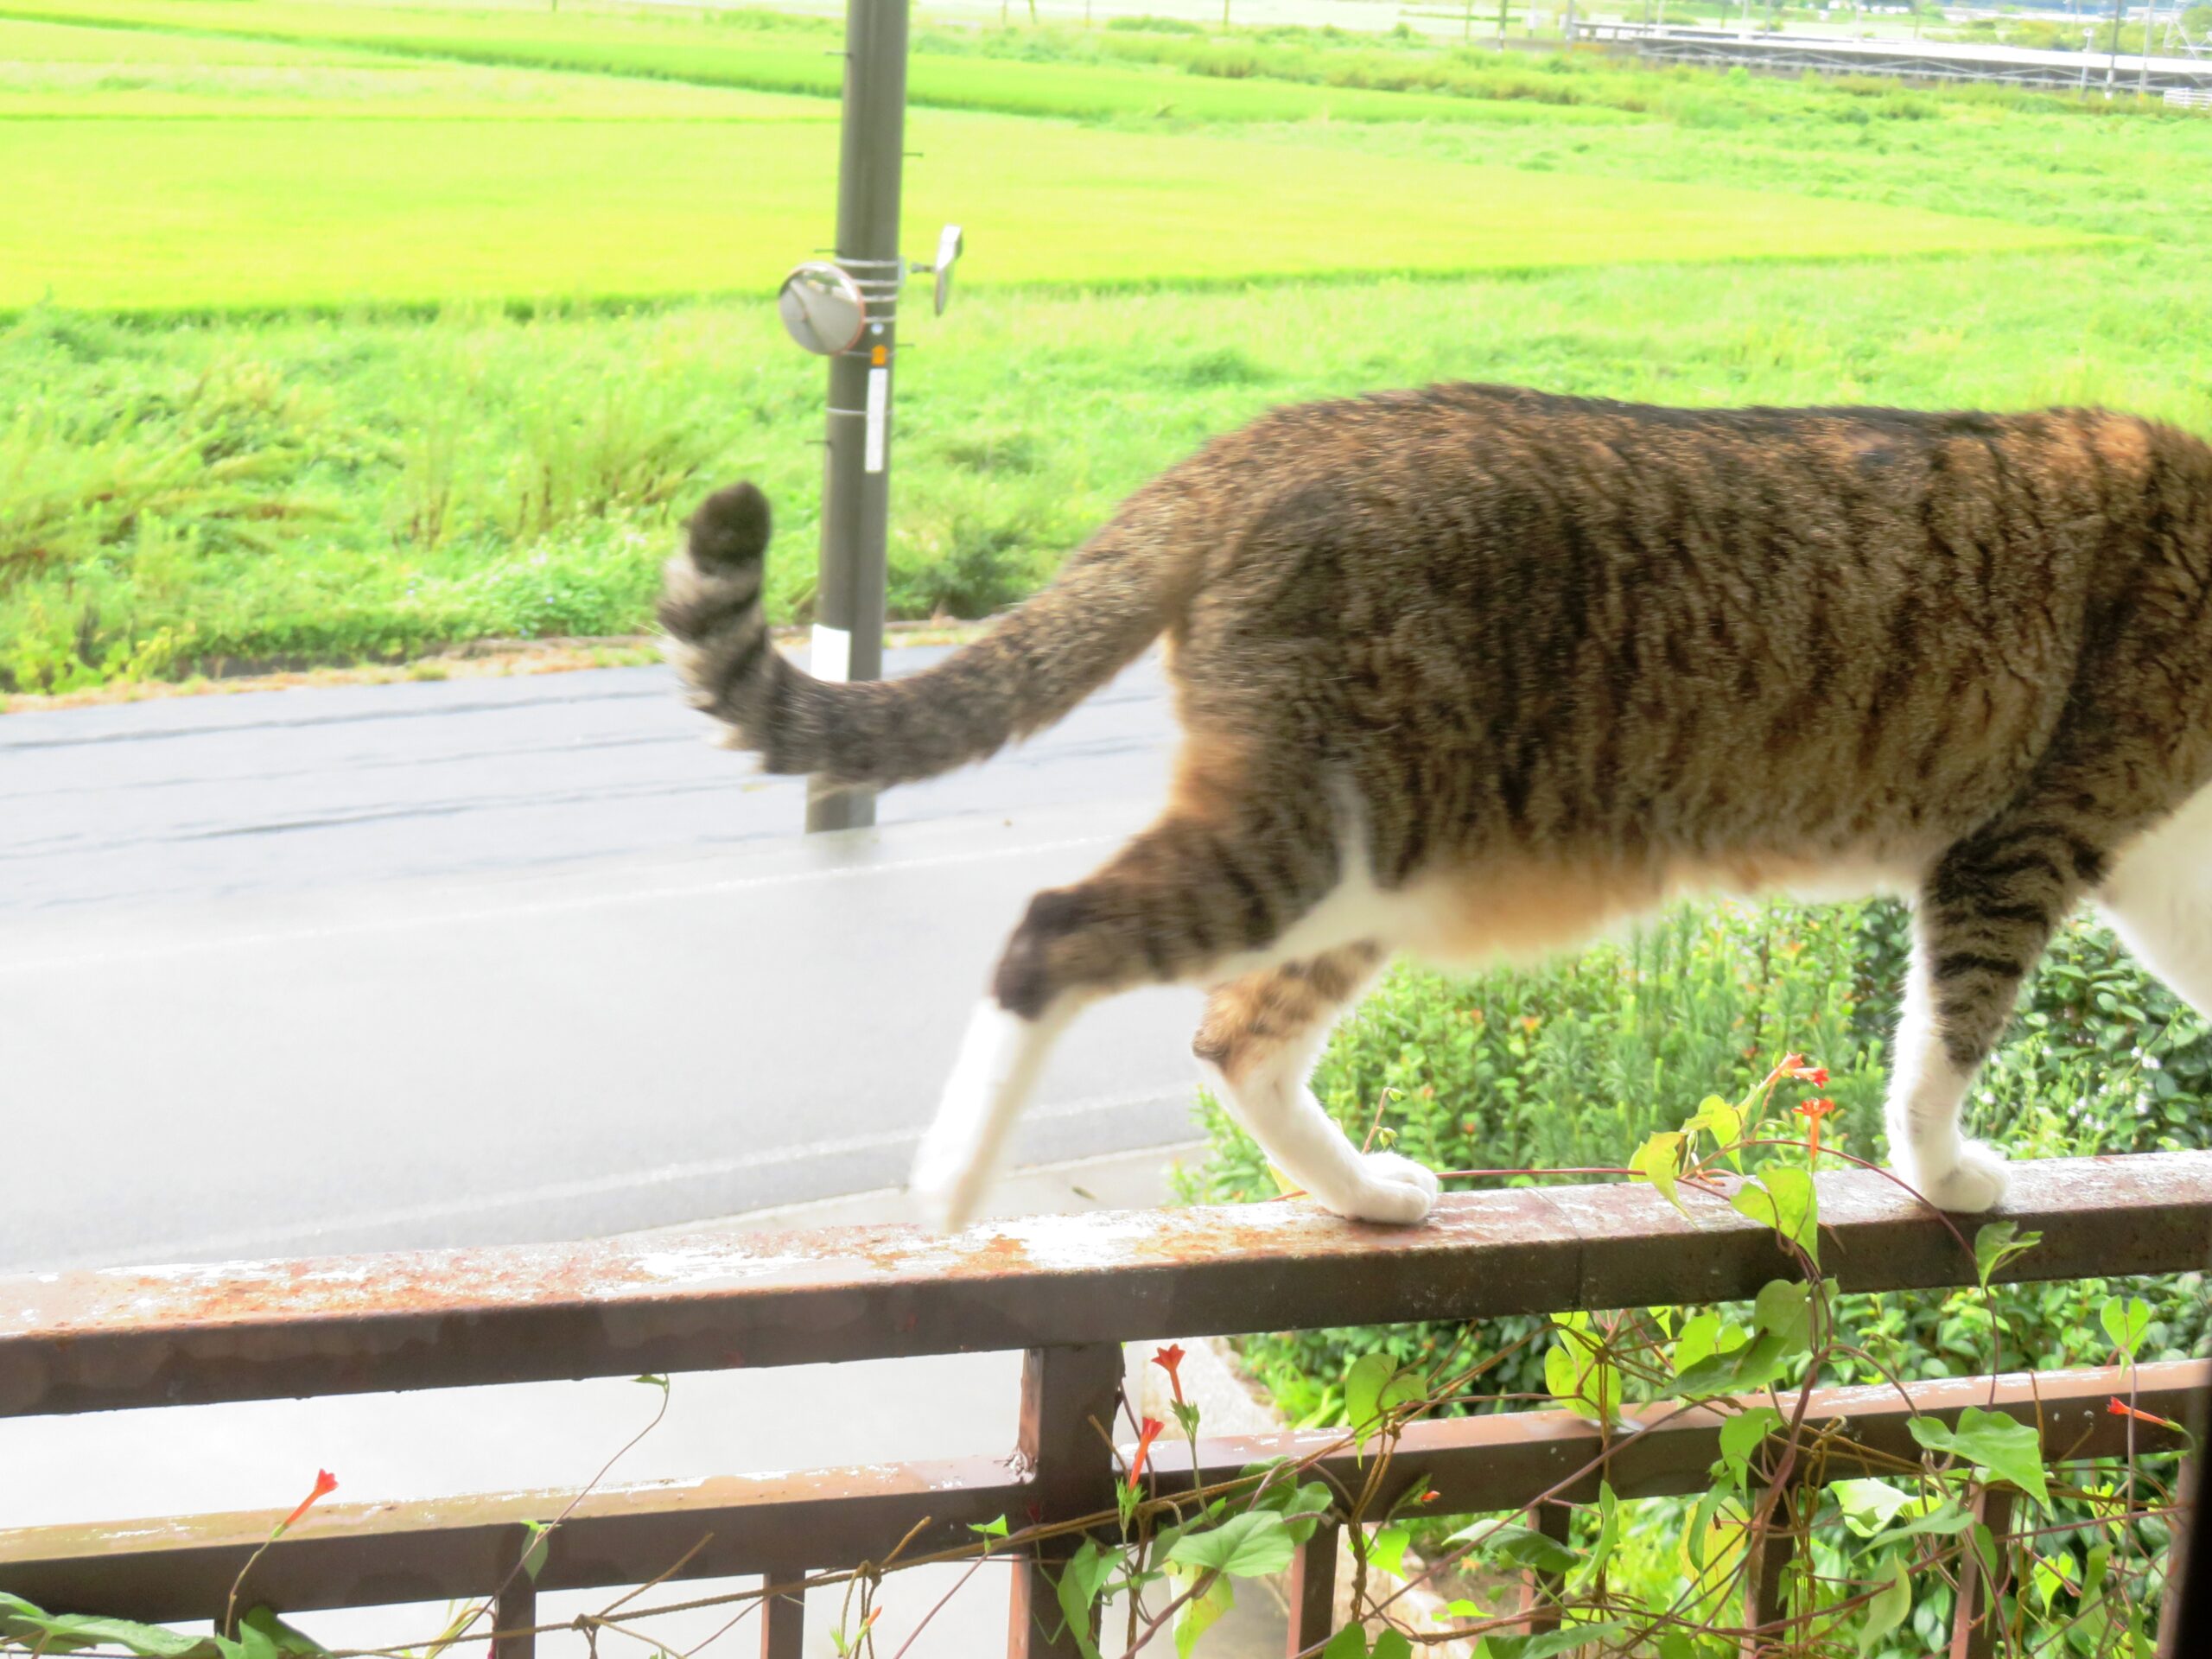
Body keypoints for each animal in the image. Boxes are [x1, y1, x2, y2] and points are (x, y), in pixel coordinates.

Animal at [654, 387, 2212, 1238]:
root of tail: (1272, 437)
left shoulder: (2157, 861)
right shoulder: (2025, 839)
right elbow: (1950, 1038)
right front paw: (1945, 1172)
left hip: (1375, 865)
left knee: (1239, 1037)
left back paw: (1361, 1193)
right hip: (1306, 838)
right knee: (1058, 931)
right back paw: (952, 1187)